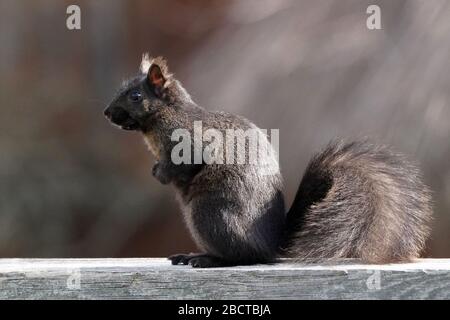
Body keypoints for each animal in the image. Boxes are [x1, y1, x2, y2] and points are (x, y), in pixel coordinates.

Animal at [104, 54, 432, 268]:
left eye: (135, 96)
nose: (107, 113)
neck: (164, 116)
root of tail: (272, 244)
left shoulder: (191, 141)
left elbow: (185, 165)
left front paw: (160, 172)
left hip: (210, 215)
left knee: (243, 258)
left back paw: (207, 259)